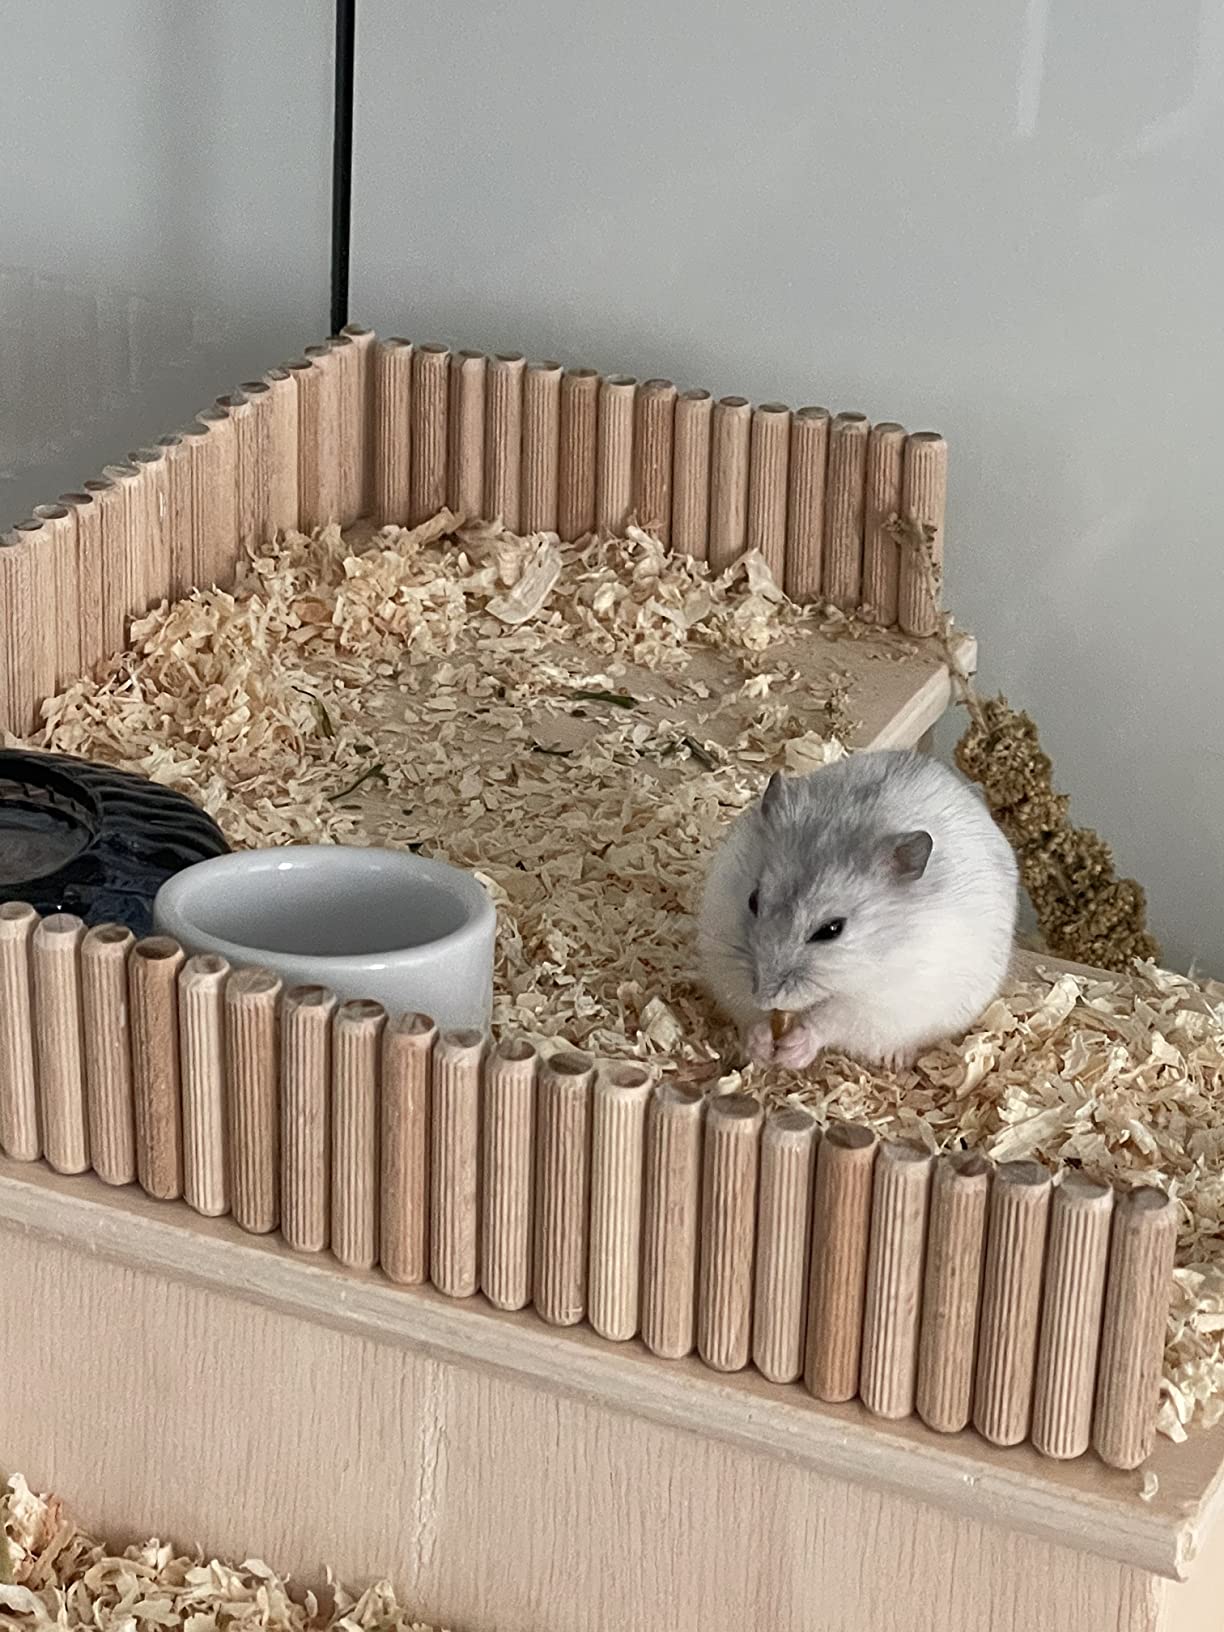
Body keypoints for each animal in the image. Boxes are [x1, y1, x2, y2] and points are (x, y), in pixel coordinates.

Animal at [697, 749, 1018, 1072]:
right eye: (753, 900)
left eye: (831, 930)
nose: (764, 998)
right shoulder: (723, 955)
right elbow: (746, 1008)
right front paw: (760, 1043)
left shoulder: (881, 1003)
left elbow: (831, 1021)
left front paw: (794, 1048)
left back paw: (896, 1061)